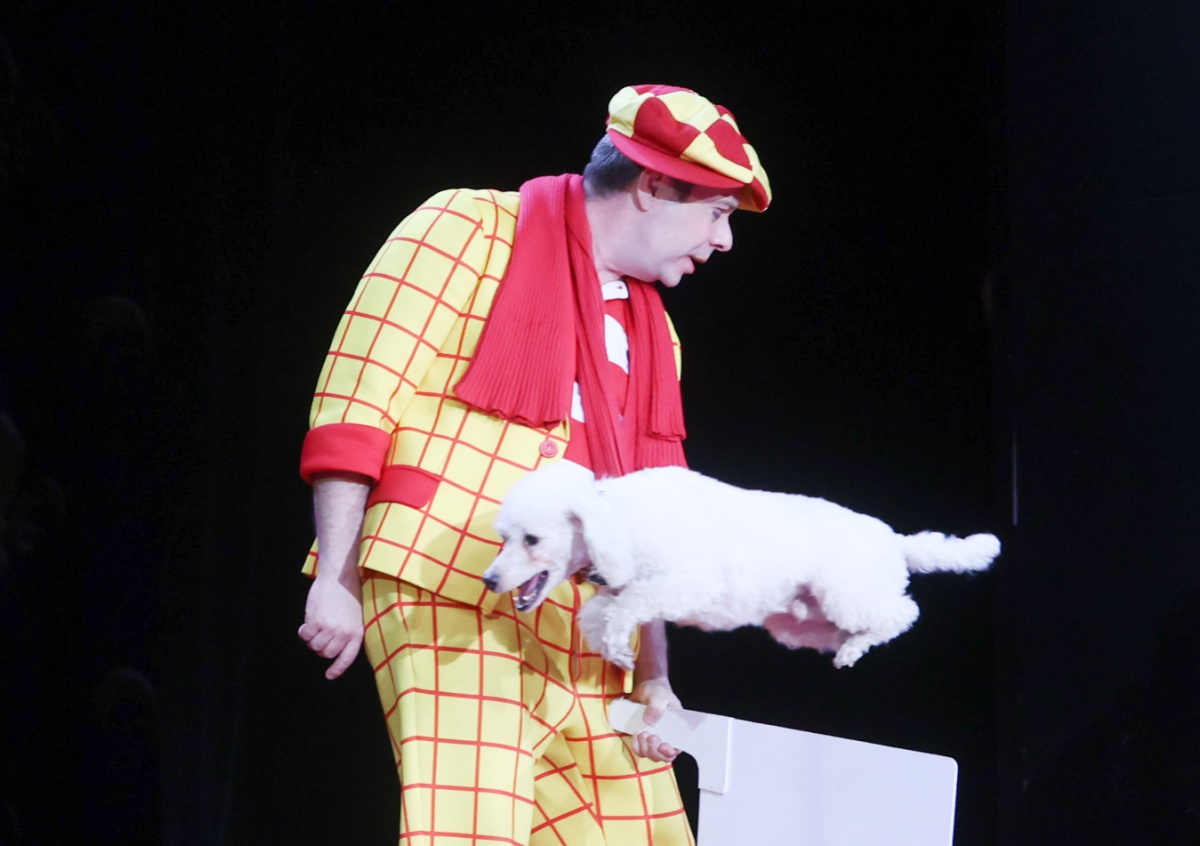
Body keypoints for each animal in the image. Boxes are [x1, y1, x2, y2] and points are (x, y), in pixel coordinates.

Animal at [482, 461, 999, 670]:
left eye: (533, 539)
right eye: (504, 537)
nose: (489, 580)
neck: (615, 516)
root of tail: (894, 540)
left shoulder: (681, 585)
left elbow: (624, 607)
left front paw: (615, 646)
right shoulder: (626, 590)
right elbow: (598, 614)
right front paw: (615, 650)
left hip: (850, 596)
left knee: (903, 614)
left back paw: (855, 649)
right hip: (800, 623)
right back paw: (847, 647)